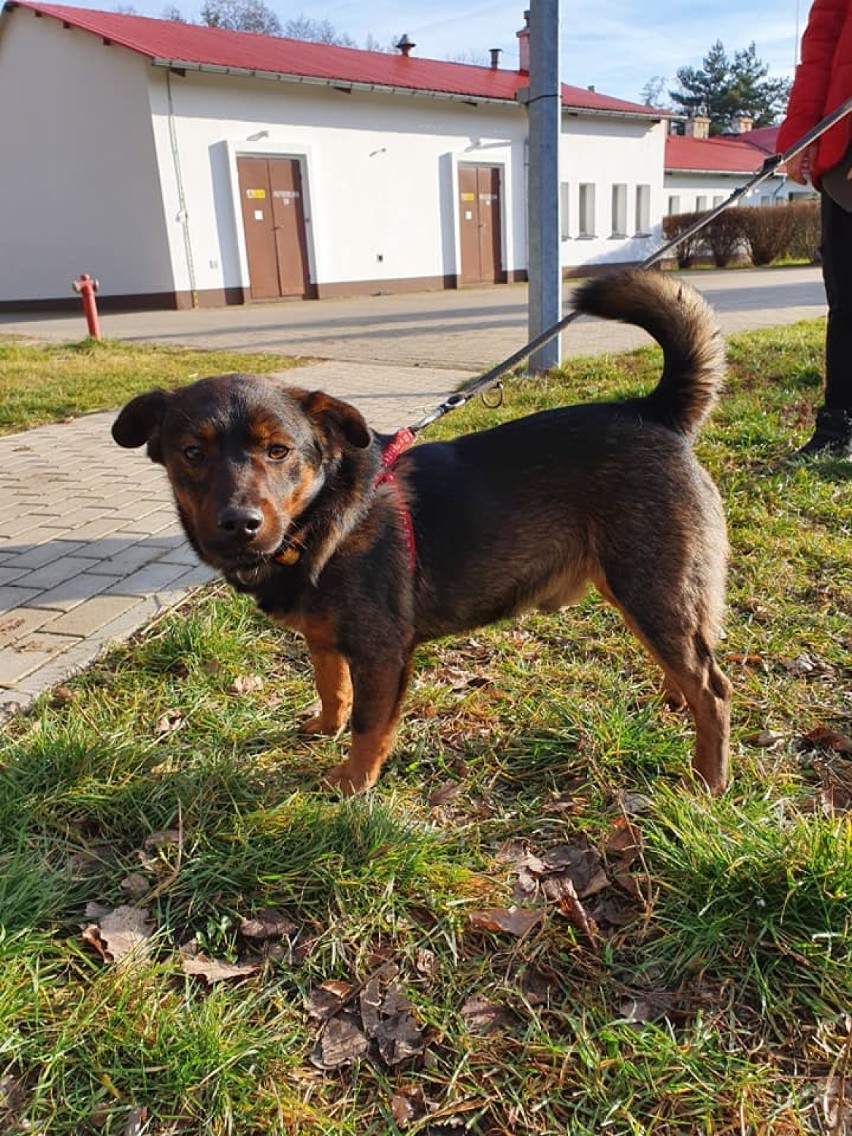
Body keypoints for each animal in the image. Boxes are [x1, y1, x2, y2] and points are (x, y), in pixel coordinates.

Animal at [111, 270, 736, 795]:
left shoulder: (382, 653)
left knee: (714, 688)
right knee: (687, 668)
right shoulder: (326, 641)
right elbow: (332, 689)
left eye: (278, 451)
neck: (321, 519)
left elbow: (369, 724)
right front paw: (325, 727)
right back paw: (674, 708)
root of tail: (654, 411)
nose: (241, 523)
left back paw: (707, 778)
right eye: (192, 453)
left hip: (650, 590)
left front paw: (352, 782)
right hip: (642, 593)